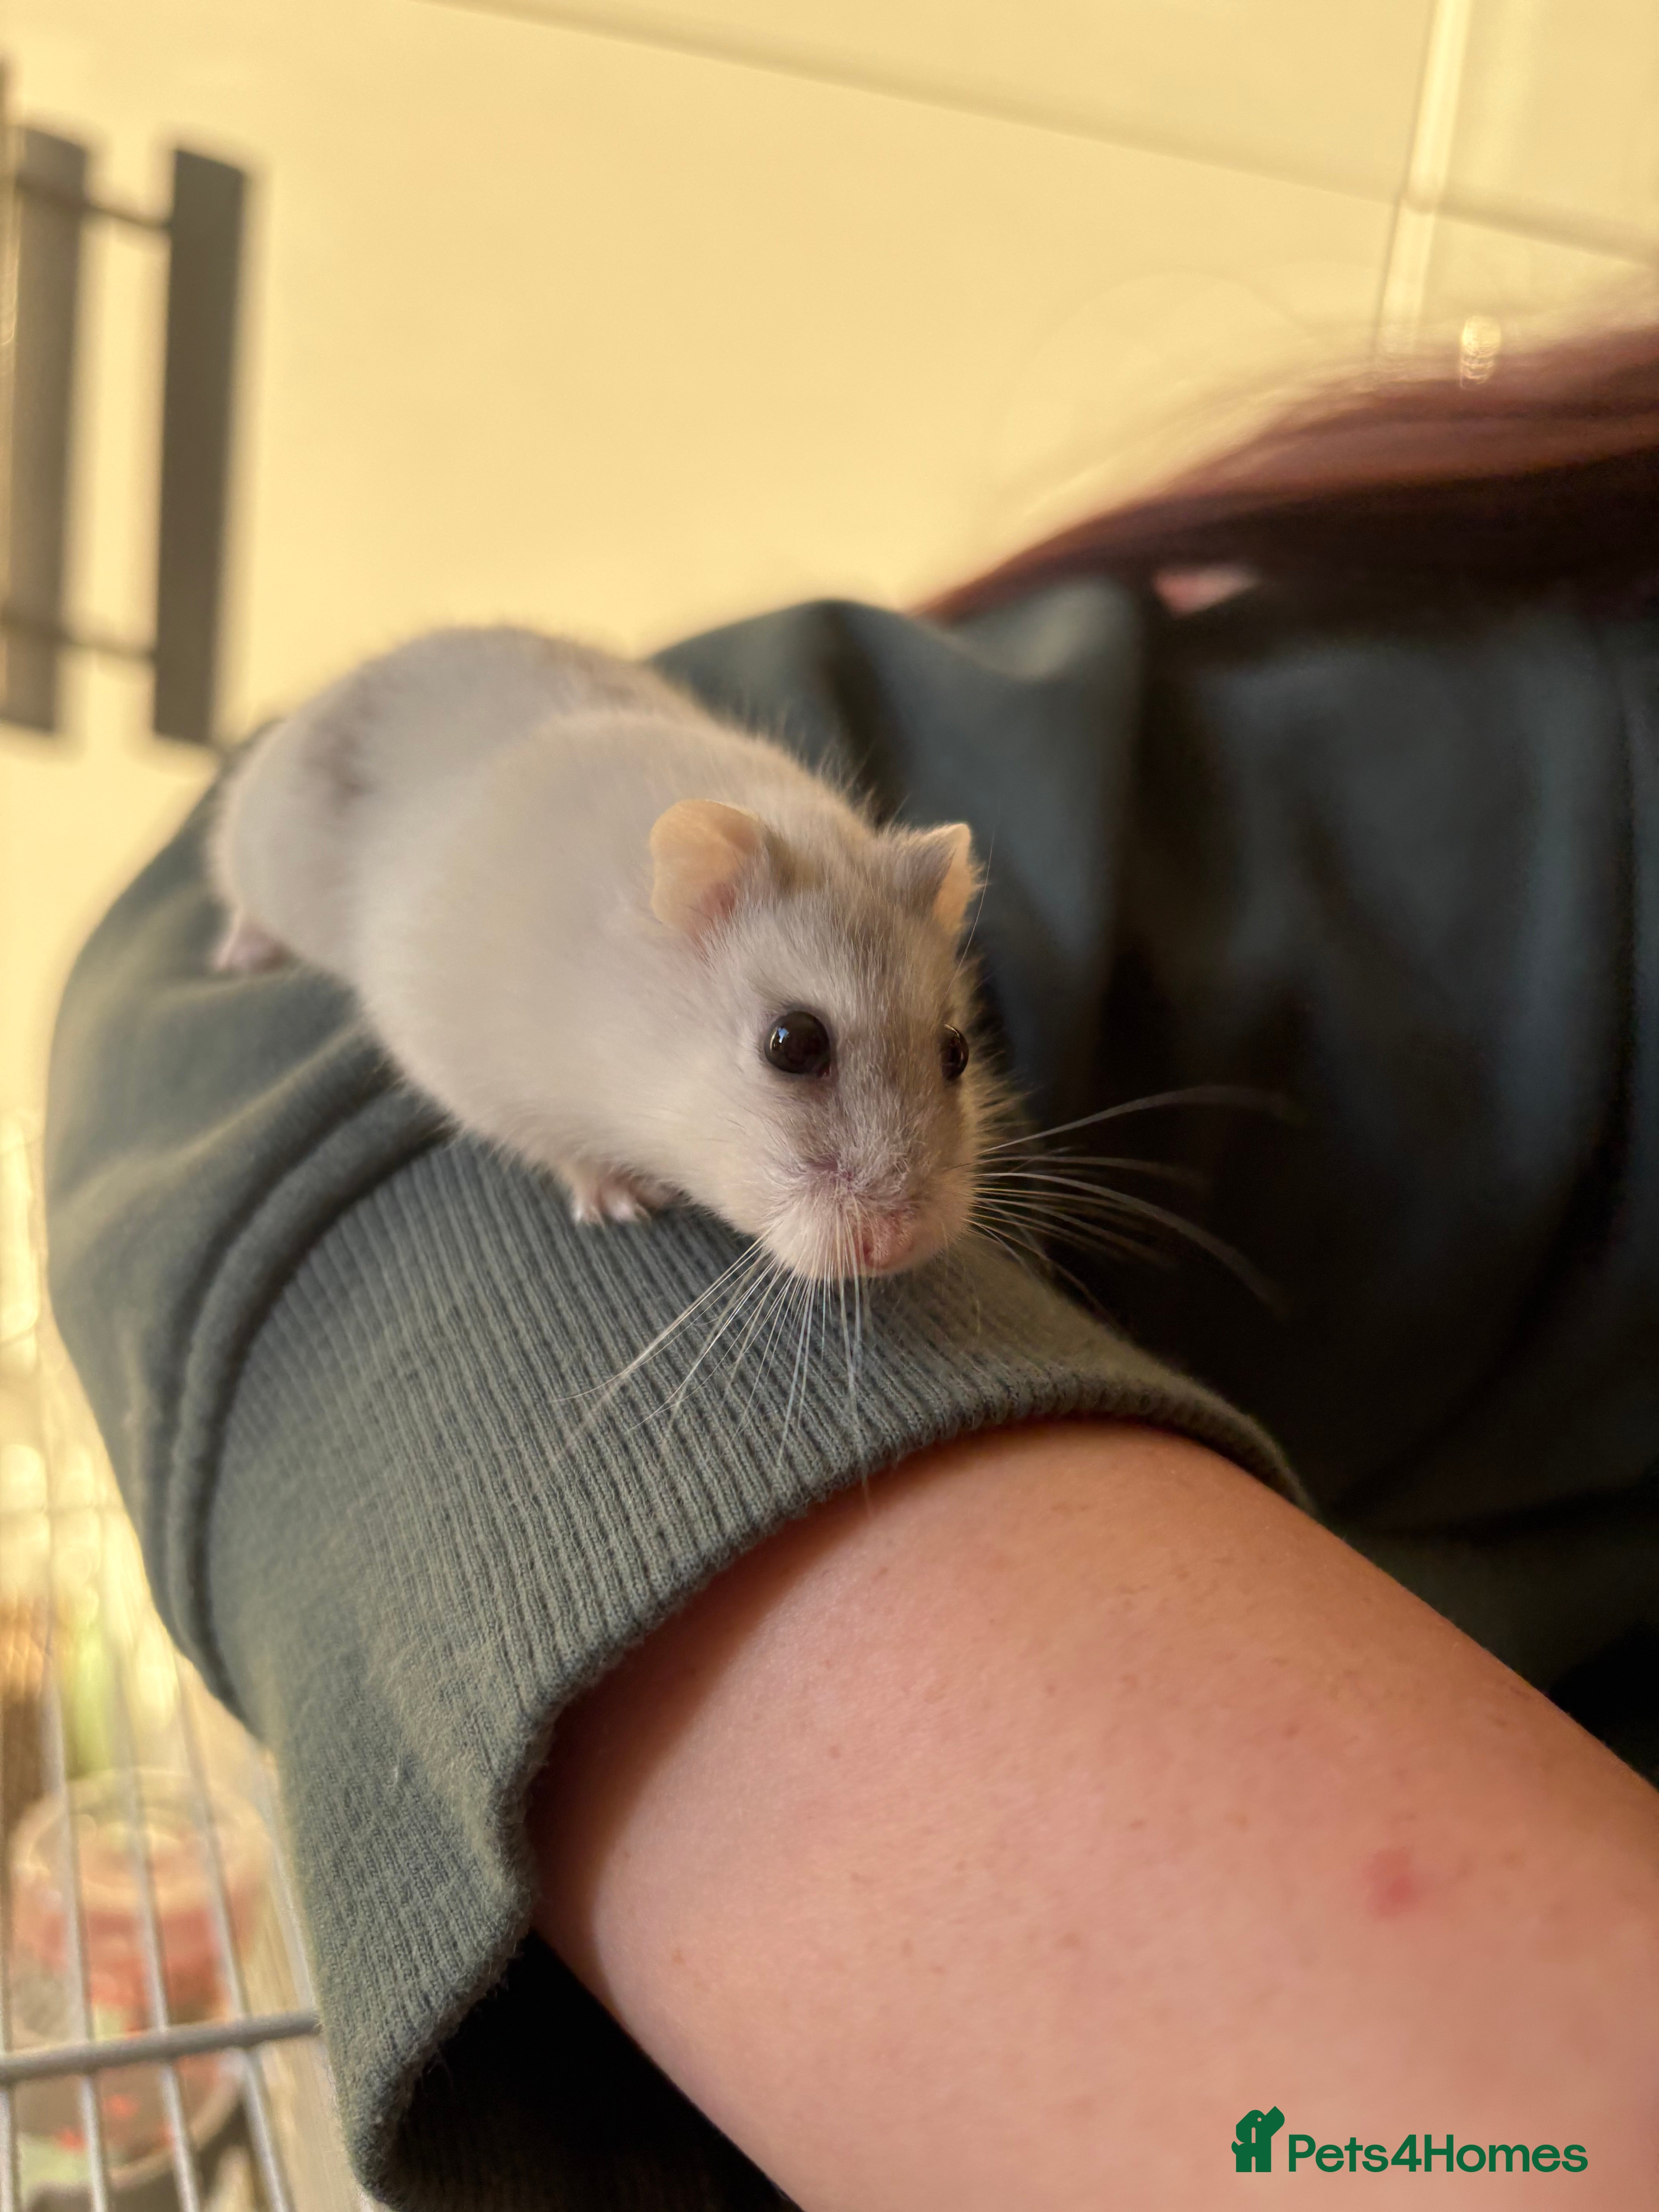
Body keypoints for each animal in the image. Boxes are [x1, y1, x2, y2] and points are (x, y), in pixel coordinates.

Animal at [209, 626, 994, 1281]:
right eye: (792, 1042)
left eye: (955, 1051)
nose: (899, 1245)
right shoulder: (463, 1061)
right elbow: (556, 1146)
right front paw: (625, 1204)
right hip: (254, 854)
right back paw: (237, 958)